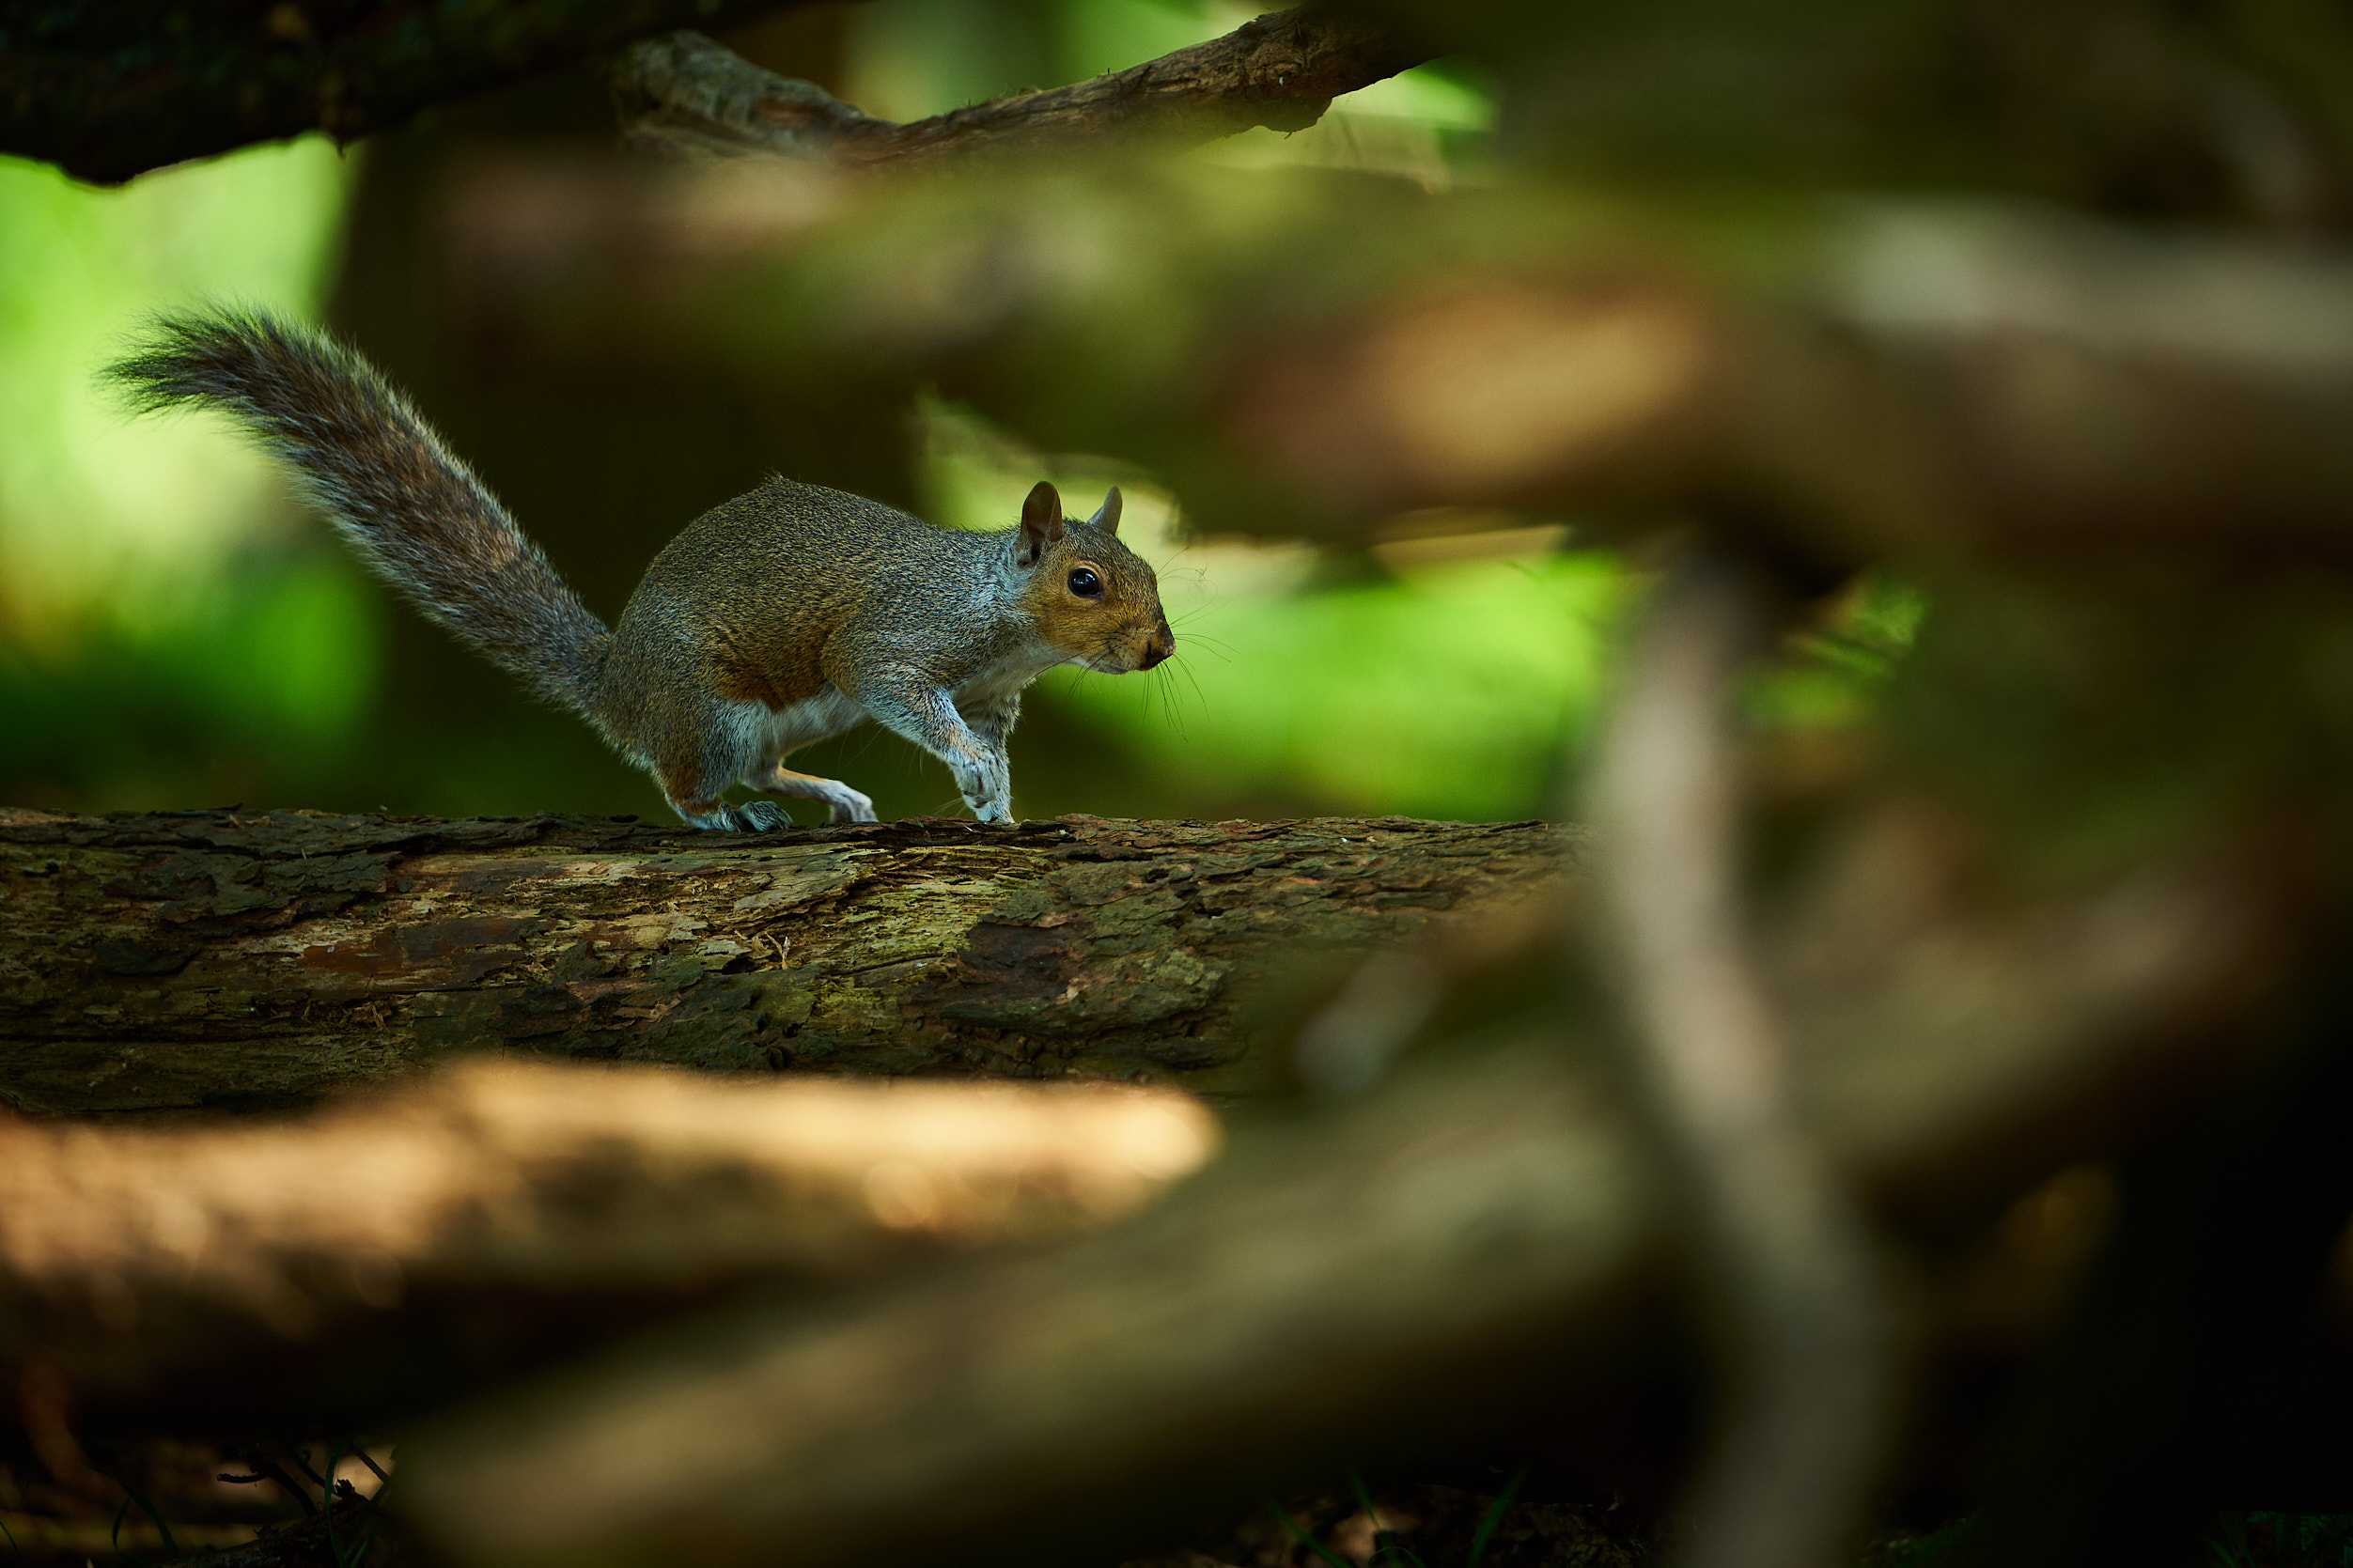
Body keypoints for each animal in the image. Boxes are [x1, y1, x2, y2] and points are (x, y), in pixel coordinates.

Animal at [109, 312, 1175, 831]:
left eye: (1154, 572)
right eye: (1085, 581)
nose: (1161, 649)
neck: (999, 616)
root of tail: (617, 681)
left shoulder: (992, 693)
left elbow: (987, 741)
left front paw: (995, 795)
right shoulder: (895, 638)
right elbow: (899, 687)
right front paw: (969, 771)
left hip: (771, 720)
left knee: (768, 764)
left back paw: (827, 795)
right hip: (708, 709)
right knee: (688, 781)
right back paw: (722, 818)